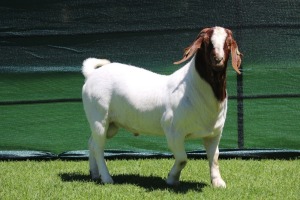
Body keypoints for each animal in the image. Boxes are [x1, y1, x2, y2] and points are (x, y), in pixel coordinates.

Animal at [81, 26, 241, 188]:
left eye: (228, 43)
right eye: (206, 42)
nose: (218, 59)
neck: (192, 87)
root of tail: (91, 74)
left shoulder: (214, 133)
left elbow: (214, 158)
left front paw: (218, 182)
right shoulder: (173, 131)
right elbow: (182, 158)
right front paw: (171, 179)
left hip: (111, 125)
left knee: (92, 143)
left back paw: (94, 174)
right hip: (99, 118)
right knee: (99, 148)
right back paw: (106, 178)